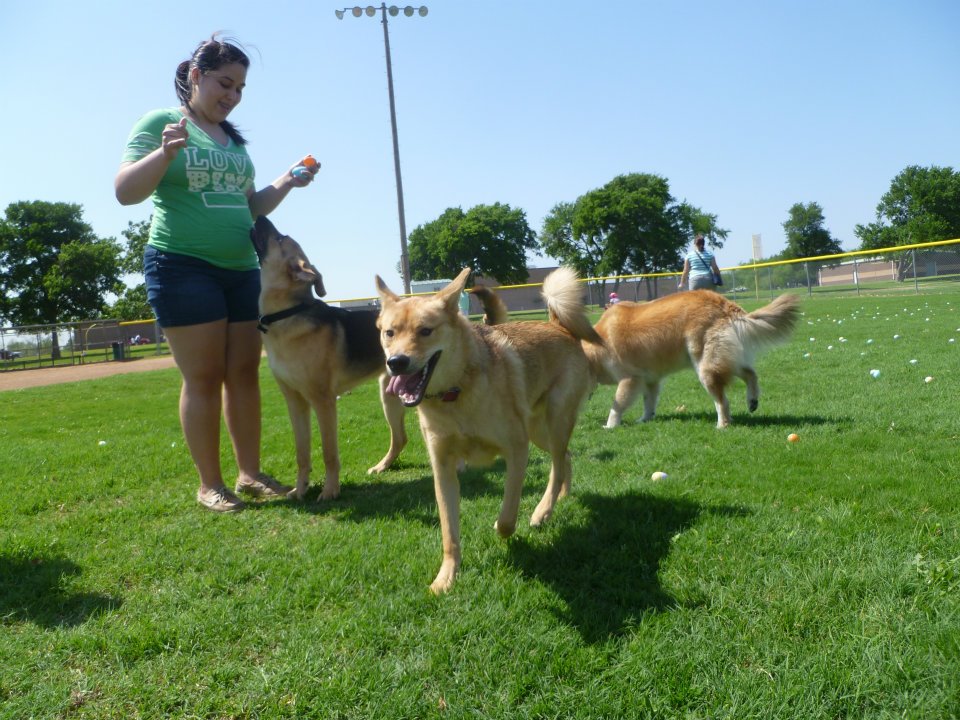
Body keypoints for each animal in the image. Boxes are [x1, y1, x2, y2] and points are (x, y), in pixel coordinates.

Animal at [374, 268, 600, 592]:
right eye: (389, 333)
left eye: (425, 331)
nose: (396, 362)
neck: (455, 393)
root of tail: (558, 327)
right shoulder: (443, 468)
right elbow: (449, 533)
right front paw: (446, 578)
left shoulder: (517, 449)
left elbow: (507, 515)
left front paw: (502, 527)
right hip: (538, 430)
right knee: (565, 458)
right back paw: (560, 497)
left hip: (554, 420)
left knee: (557, 463)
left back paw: (542, 510)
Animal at [584, 290, 804, 430]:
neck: (596, 348)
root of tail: (724, 304)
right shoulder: (651, 380)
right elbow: (649, 402)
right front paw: (645, 419)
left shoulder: (630, 379)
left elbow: (617, 404)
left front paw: (610, 425)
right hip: (723, 357)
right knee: (750, 373)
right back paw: (752, 401)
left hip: (705, 367)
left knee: (723, 401)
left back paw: (722, 425)